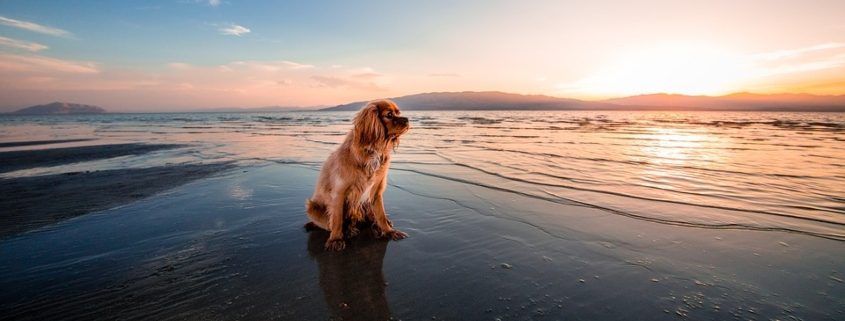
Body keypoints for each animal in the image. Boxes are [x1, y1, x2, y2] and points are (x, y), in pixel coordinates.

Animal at [304, 98, 410, 250]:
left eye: (398, 113)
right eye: (389, 115)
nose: (407, 119)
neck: (372, 151)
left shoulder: (376, 191)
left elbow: (380, 214)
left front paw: (389, 231)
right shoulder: (339, 193)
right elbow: (337, 219)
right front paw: (336, 239)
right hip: (312, 207)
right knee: (332, 223)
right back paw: (348, 230)